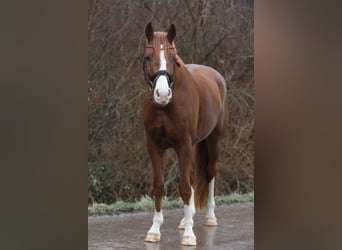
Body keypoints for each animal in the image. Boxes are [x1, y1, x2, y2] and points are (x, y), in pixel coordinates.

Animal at [141, 22, 227, 246]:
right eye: (148, 57)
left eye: (173, 58)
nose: (162, 94)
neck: (166, 107)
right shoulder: (153, 145)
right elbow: (159, 185)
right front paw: (154, 230)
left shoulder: (183, 145)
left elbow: (185, 188)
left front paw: (189, 235)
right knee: (195, 177)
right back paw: (185, 219)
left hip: (213, 141)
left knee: (210, 173)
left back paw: (209, 217)